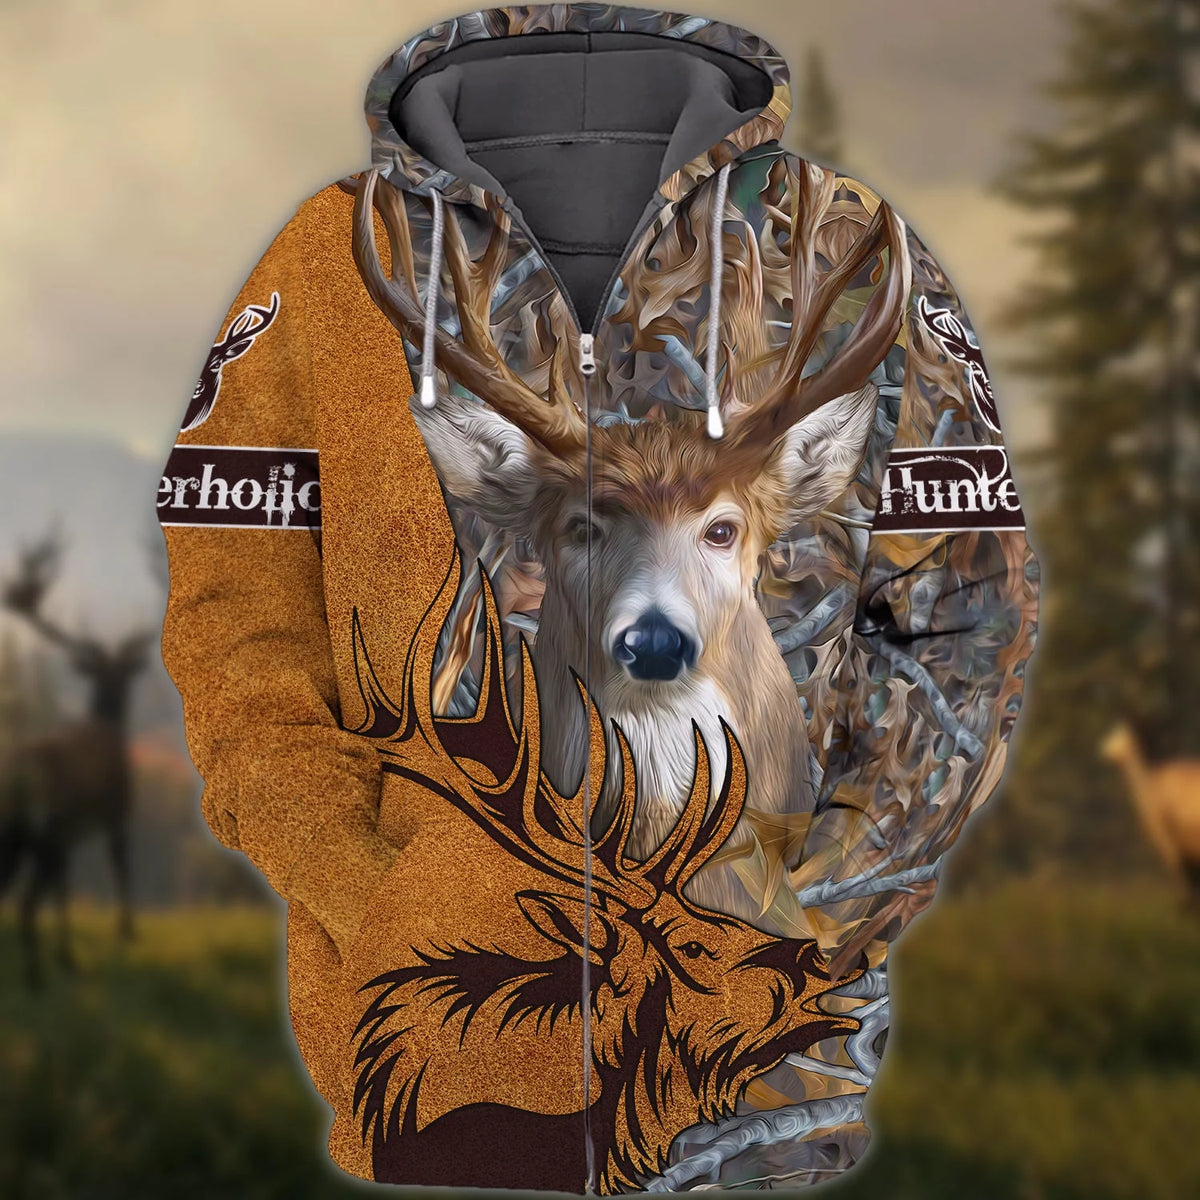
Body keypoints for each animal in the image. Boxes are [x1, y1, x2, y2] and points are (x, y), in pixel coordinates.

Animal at [0, 520, 158, 987]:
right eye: (118, 674)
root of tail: (18, 777)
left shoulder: (70, 837)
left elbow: (66, 892)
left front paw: (66, 953)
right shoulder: (117, 810)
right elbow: (119, 868)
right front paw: (127, 932)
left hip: (17, 834)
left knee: (18, 894)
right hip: (44, 830)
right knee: (26, 902)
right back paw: (34, 980)